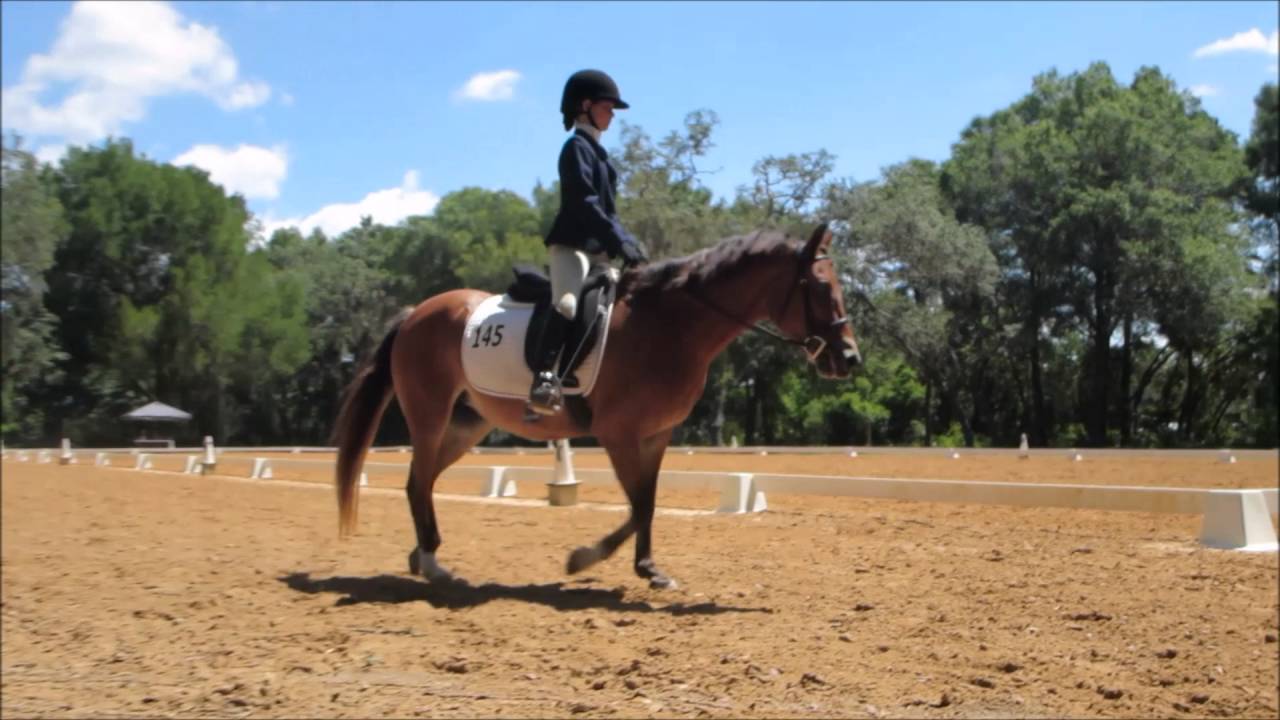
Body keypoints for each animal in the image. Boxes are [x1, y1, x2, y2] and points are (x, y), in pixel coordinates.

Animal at [332, 223, 861, 589]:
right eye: (820, 288)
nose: (850, 358)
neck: (672, 325)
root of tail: (414, 313)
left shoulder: (656, 434)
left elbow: (647, 503)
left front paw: (649, 569)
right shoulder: (618, 432)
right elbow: (637, 505)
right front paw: (583, 558)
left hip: (466, 425)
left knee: (421, 482)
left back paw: (422, 557)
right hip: (429, 414)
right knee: (418, 480)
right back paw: (433, 565)